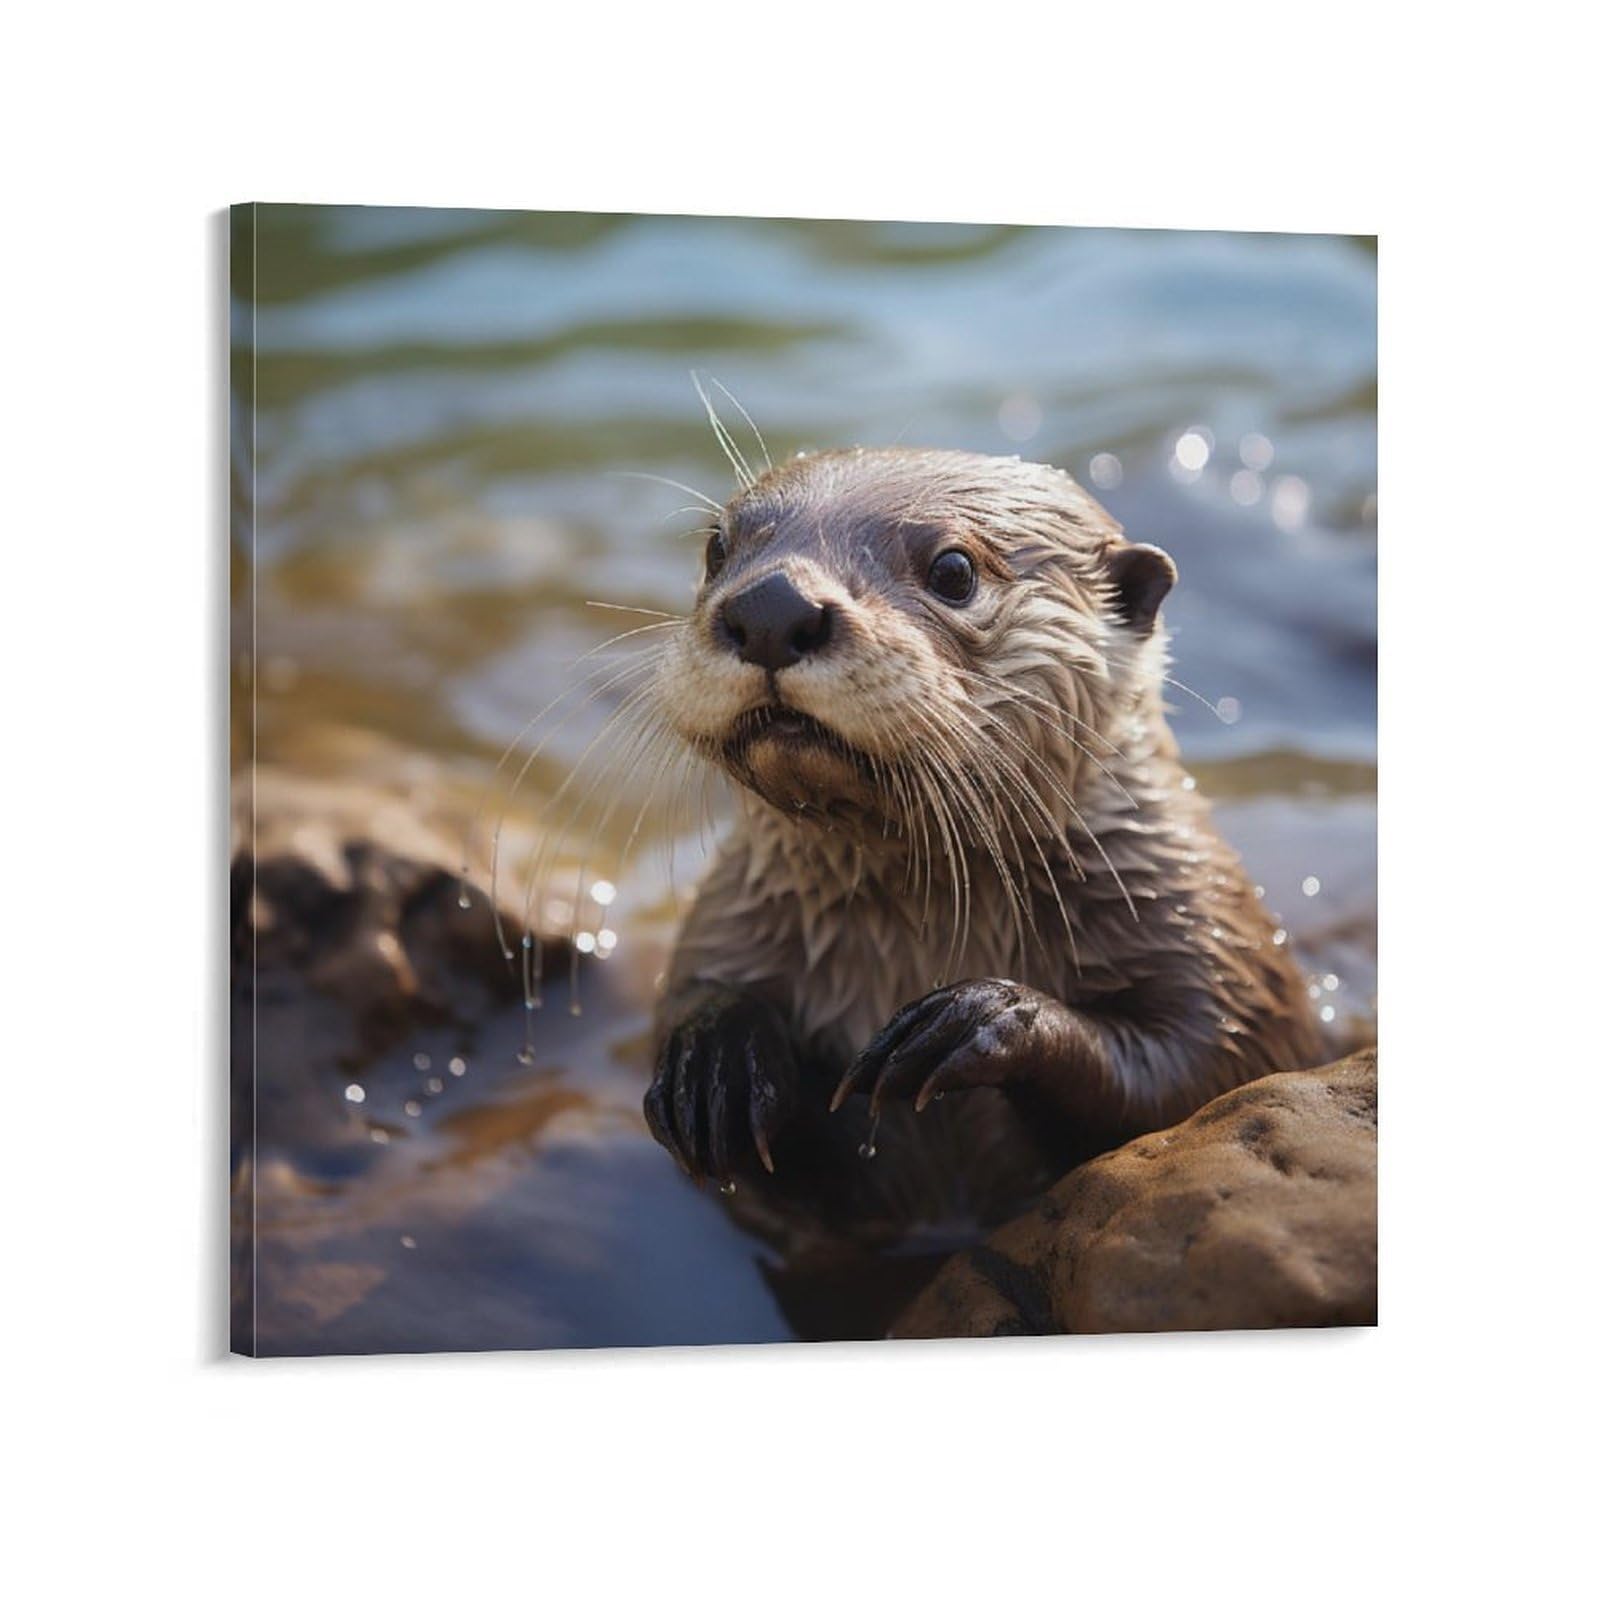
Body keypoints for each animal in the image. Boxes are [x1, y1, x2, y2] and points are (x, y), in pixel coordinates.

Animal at [640, 446, 1321, 1253]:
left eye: (954, 570)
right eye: (718, 548)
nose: (771, 608)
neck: (922, 939)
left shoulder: (1214, 946)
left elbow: (1204, 1074)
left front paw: (980, 1017)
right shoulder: (725, 922)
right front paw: (716, 1055)